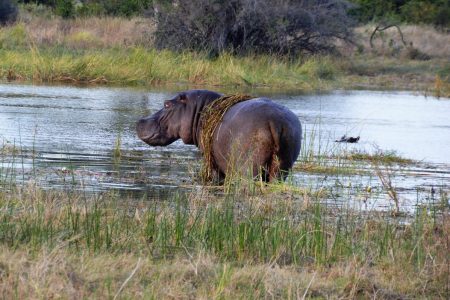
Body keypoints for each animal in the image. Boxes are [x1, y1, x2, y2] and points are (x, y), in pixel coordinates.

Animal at [135, 90, 300, 182]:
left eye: (167, 104)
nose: (140, 120)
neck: (200, 110)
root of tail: (275, 122)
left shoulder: (214, 164)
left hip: (250, 167)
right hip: (282, 167)